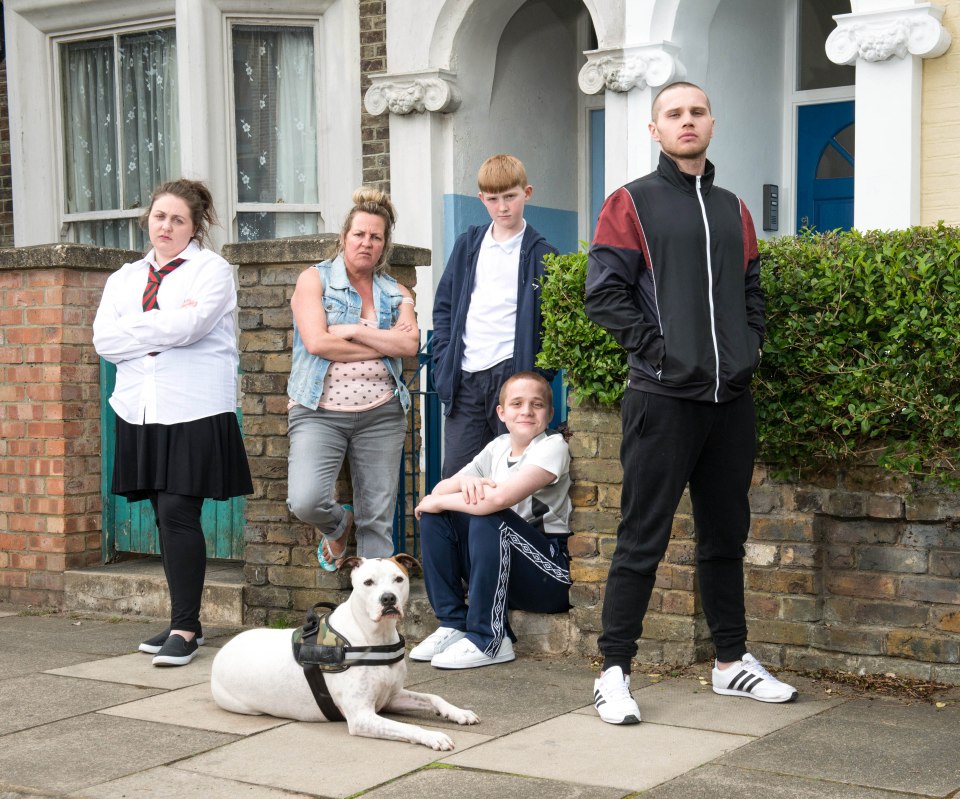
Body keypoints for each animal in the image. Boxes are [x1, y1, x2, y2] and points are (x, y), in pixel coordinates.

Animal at [211, 556, 480, 752]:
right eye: (368, 582)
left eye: (398, 579)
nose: (388, 598)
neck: (374, 636)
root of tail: (222, 651)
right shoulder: (362, 716)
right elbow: (406, 727)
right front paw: (433, 736)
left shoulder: (391, 697)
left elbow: (433, 697)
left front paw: (459, 713)